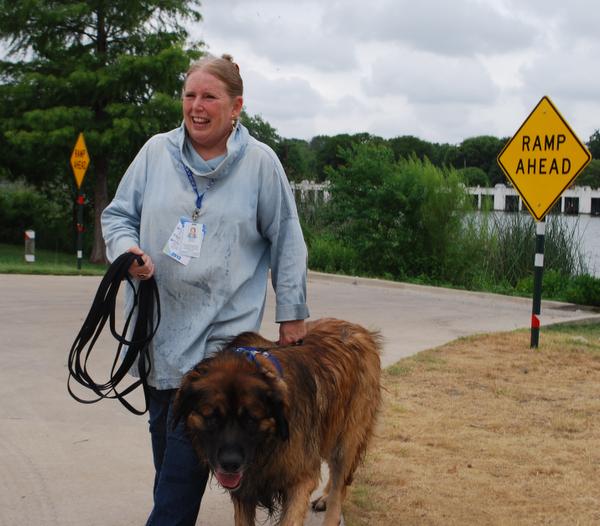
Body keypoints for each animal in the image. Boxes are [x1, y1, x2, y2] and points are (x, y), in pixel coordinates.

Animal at [171, 320, 382, 526]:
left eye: (251, 419)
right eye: (212, 417)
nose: (230, 464)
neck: (270, 443)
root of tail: (359, 330)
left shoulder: (301, 478)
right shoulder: (245, 488)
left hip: (346, 440)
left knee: (340, 485)